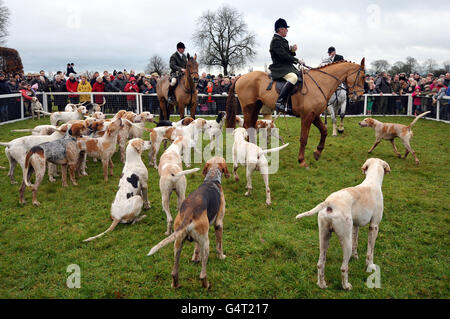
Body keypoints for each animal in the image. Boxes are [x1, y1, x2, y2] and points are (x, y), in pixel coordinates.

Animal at [227, 58, 368, 168]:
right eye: (363, 77)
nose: (359, 97)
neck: (320, 83)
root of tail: (240, 77)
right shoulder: (307, 116)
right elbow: (304, 138)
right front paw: (302, 161)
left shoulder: (314, 115)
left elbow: (324, 131)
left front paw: (317, 152)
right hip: (249, 108)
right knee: (247, 127)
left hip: (256, 108)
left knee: (250, 127)